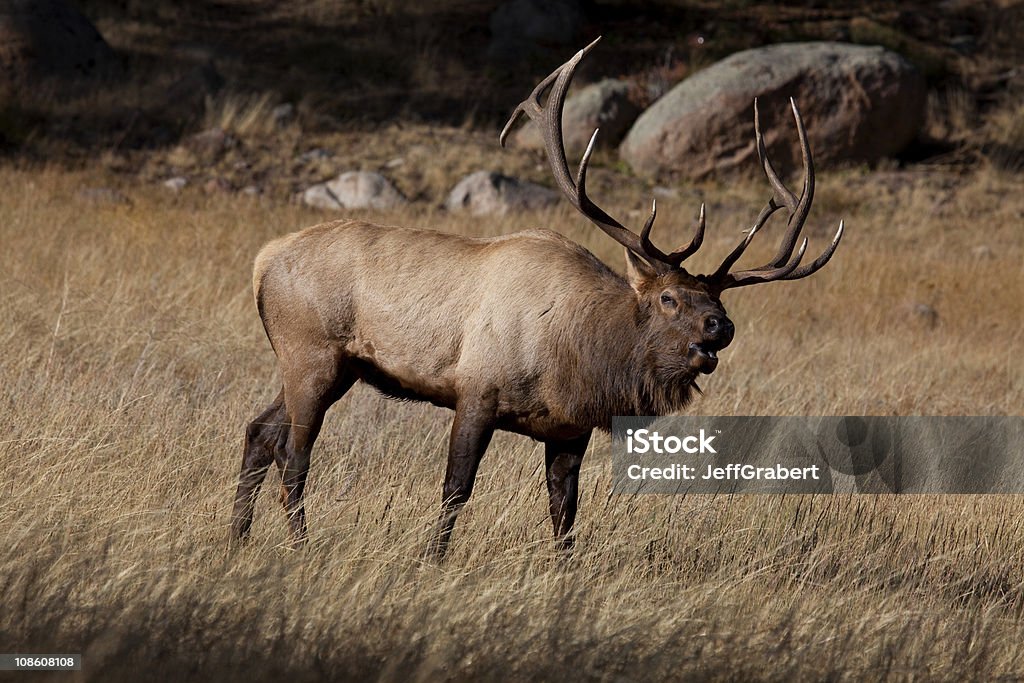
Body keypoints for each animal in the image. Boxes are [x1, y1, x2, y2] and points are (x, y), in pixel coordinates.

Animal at [230, 37, 839, 557]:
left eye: (720, 302)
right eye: (669, 299)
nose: (721, 326)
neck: (578, 357)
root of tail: (262, 261)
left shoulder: (569, 428)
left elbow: (565, 511)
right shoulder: (476, 389)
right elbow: (455, 488)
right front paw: (432, 559)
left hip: (331, 365)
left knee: (260, 431)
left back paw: (237, 538)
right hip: (313, 352)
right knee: (295, 455)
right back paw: (299, 546)